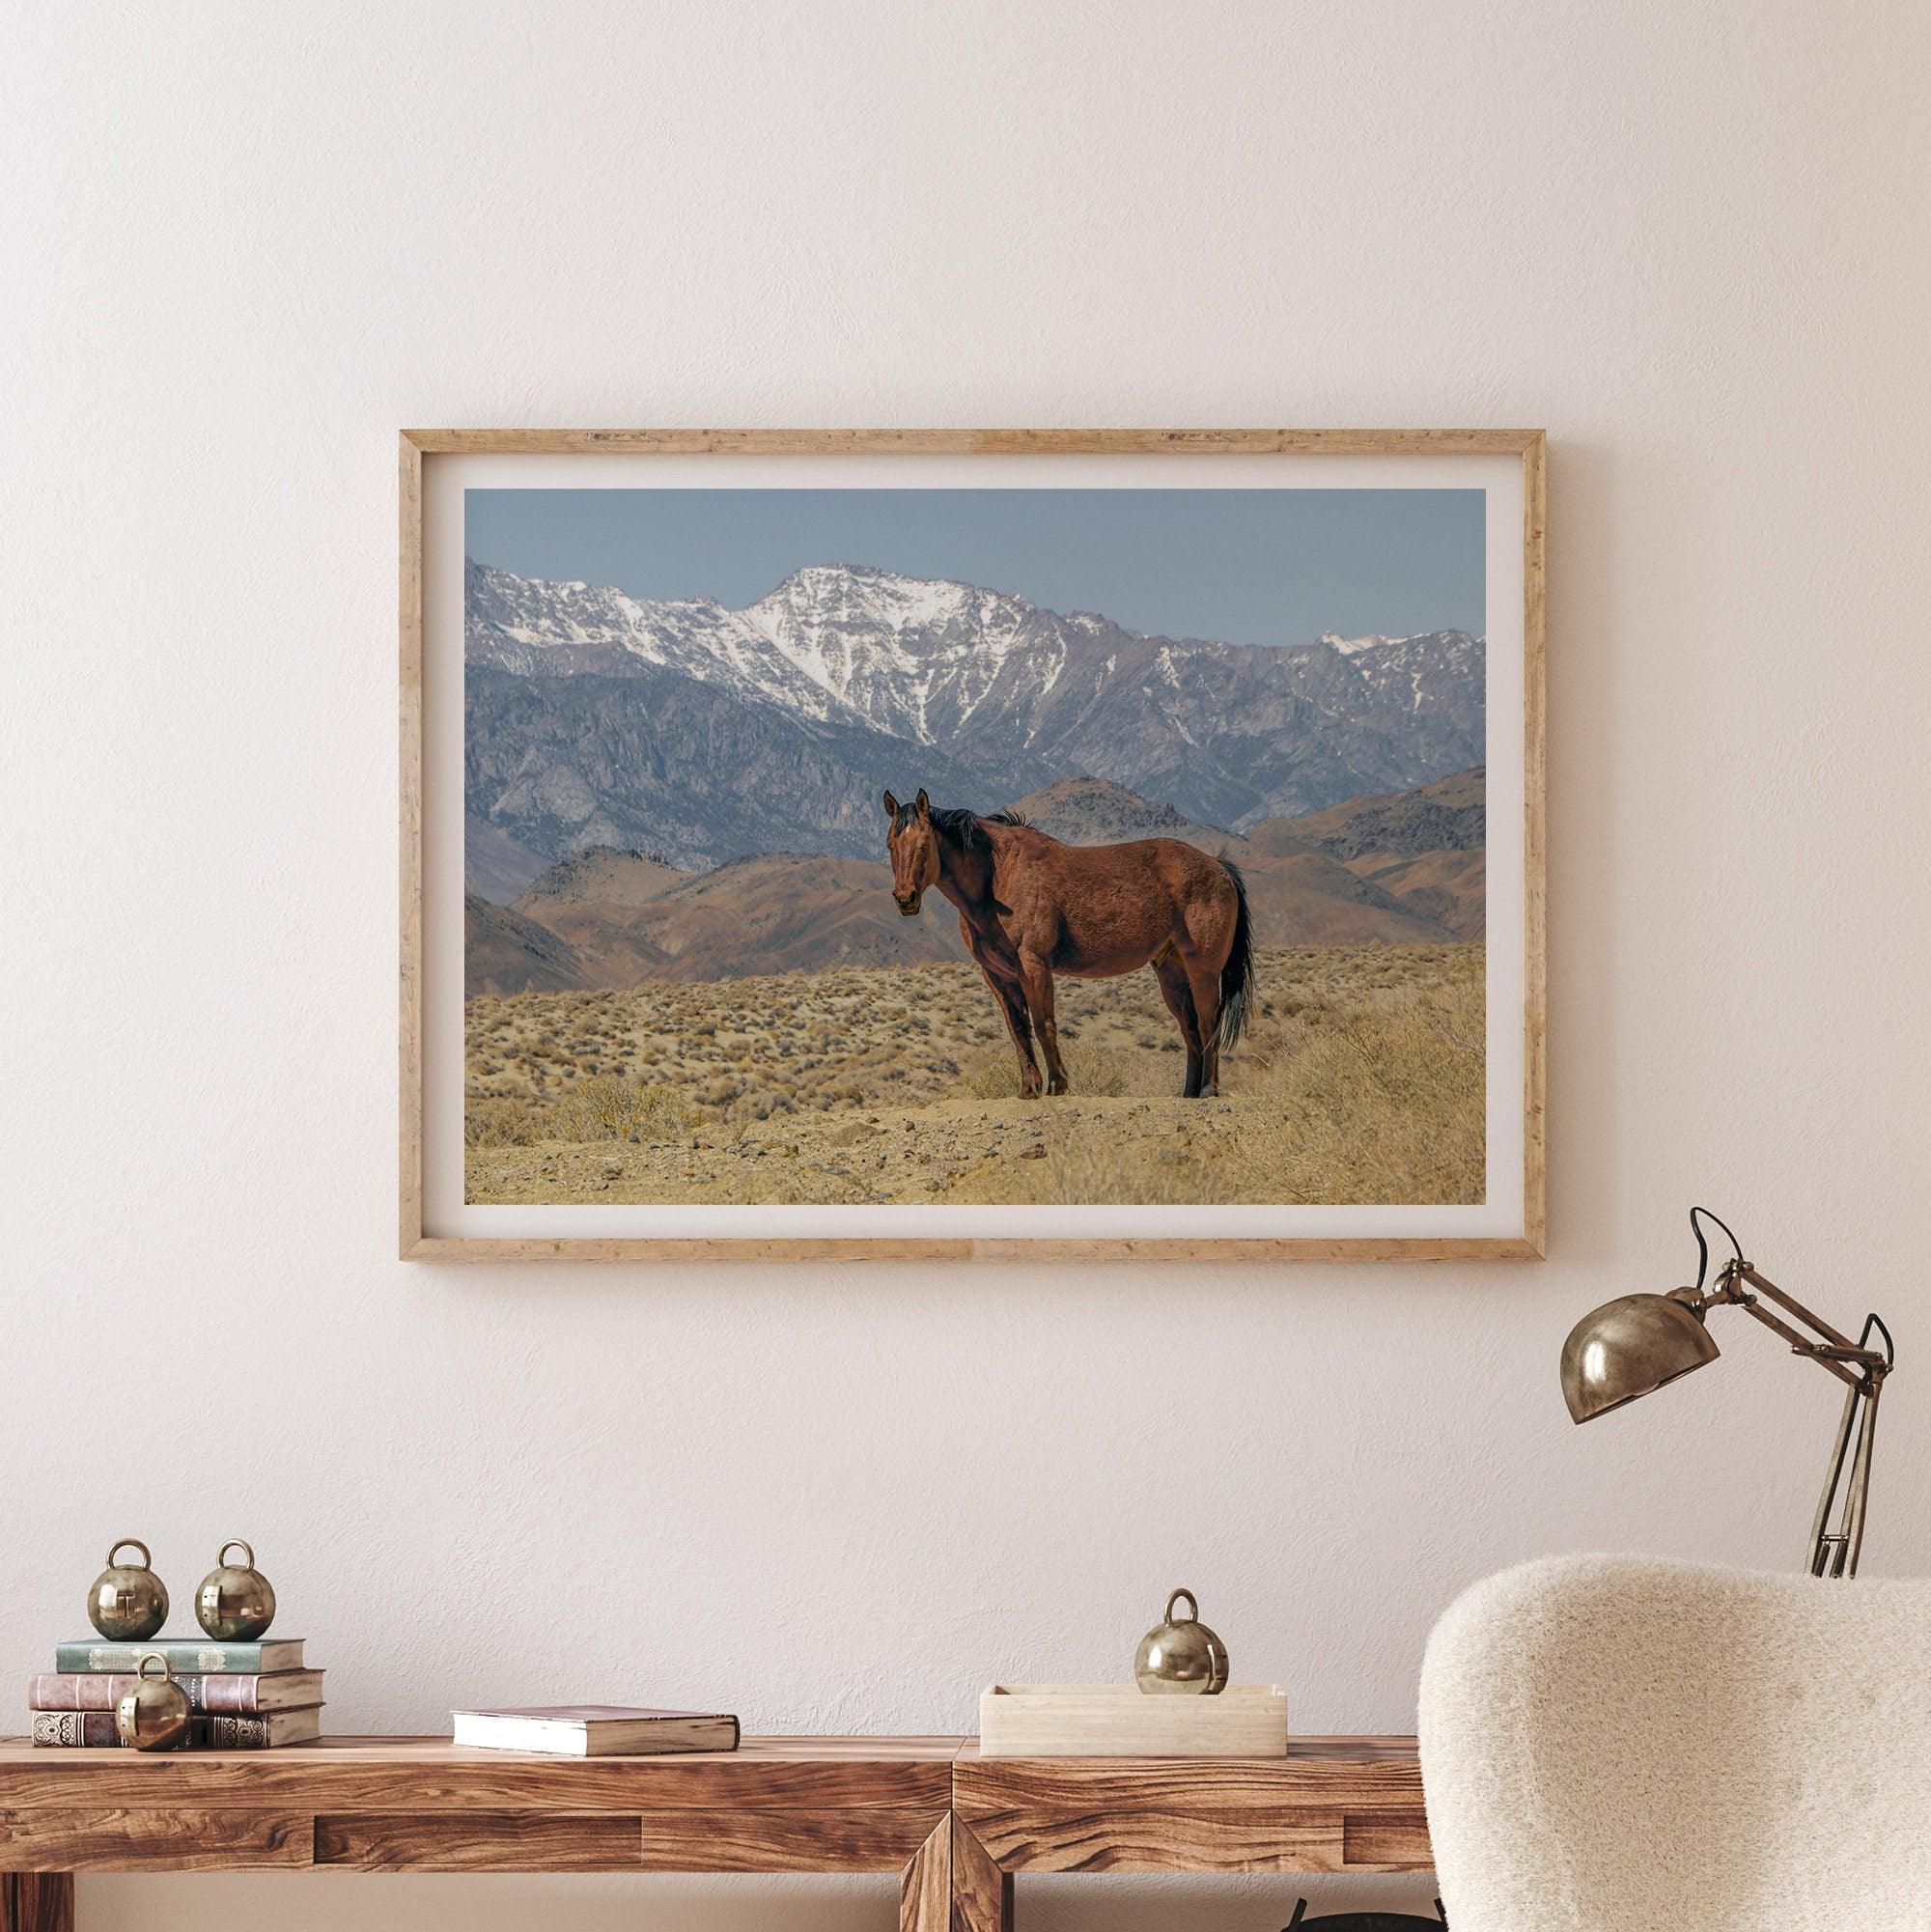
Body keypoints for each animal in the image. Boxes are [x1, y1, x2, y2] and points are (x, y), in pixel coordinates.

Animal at [884, 788, 1259, 1105]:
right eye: (891, 844)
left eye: (924, 844)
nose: (905, 899)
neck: (999, 877)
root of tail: (1219, 867)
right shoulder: (997, 975)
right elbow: (1018, 1030)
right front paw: (1028, 1089)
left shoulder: (1033, 965)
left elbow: (1043, 1024)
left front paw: (1056, 1086)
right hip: (1171, 971)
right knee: (1190, 1028)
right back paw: (1189, 1093)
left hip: (1203, 969)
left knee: (1209, 1022)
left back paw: (1209, 1091)